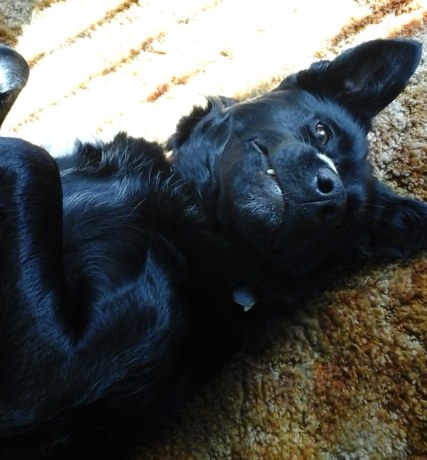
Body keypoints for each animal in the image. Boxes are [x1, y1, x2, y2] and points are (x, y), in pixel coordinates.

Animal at [0, 38, 426, 459]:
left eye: (346, 219)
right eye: (322, 132)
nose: (331, 194)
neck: (195, 219)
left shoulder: (58, 371)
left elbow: (30, 155)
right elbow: (21, 69)